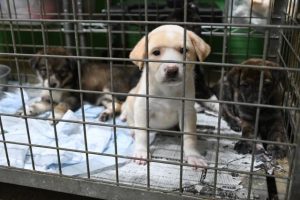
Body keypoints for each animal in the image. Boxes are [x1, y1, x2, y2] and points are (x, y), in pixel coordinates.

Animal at [122, 25, 211, 169]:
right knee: (131, 121)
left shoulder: (187, 111)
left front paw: (194, 156)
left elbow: (190, 136)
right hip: (131, 99)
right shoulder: (142, 108)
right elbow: (142, 133)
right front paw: (141, 152)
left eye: (183, 50)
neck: (168, 90)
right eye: (156, 52)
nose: (171, 70)